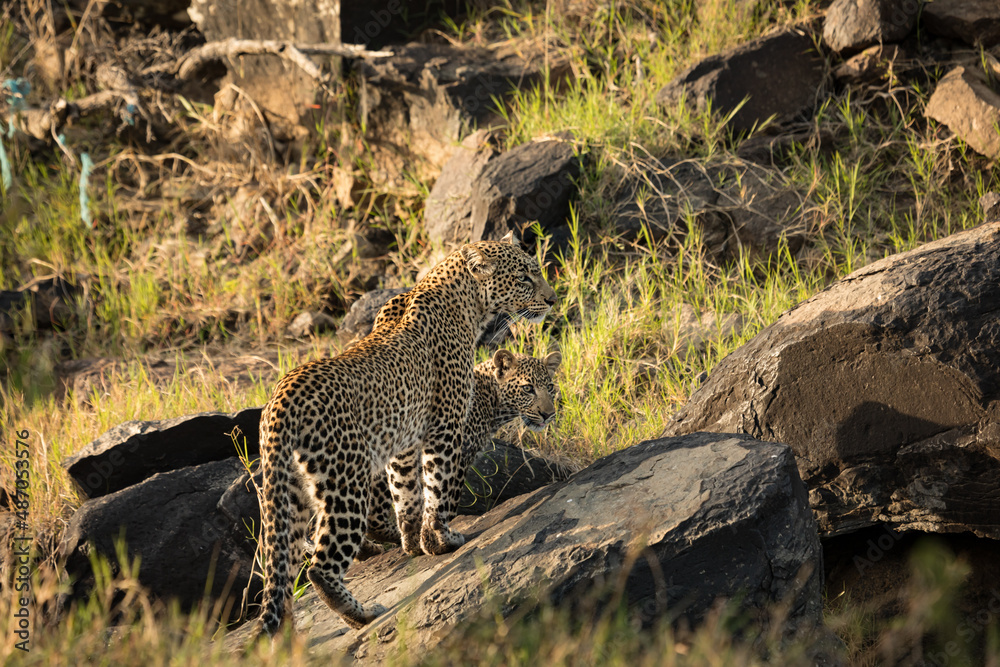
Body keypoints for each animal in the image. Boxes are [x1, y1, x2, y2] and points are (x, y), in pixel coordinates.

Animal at [361, 347, 562, 552]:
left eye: (550, 387)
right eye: (528, 388)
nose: (548, 414)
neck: (492, 402)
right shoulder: (456, 455)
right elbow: (443, 499)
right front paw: (439, 539)